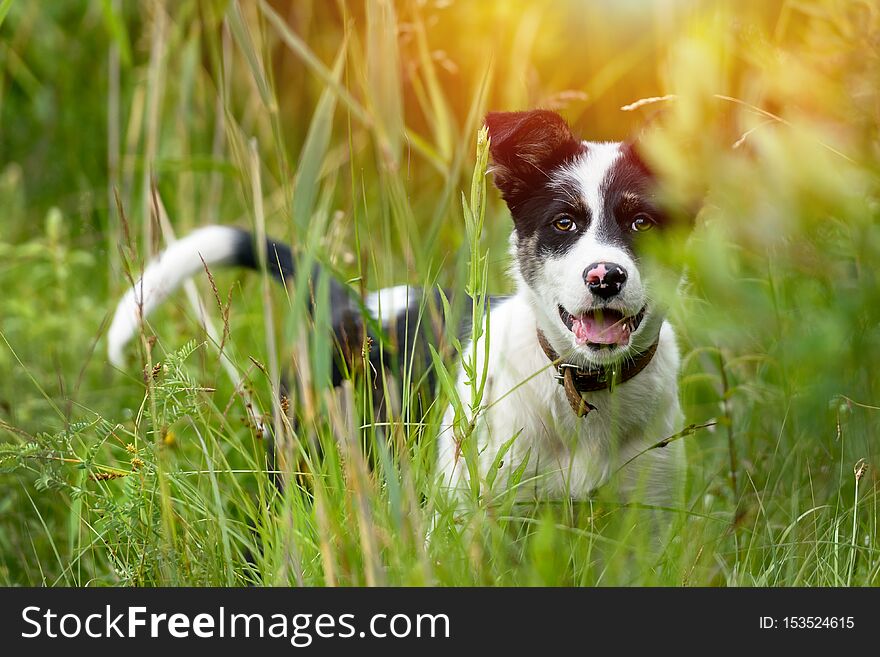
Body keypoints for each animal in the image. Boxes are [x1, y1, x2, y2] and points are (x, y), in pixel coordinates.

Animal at [108, 110, 688, 512]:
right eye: (564, 223)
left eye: (642, 223)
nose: (605, 277)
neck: (583, 386)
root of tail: (352, 305)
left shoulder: (646, 521)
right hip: (296, 463)